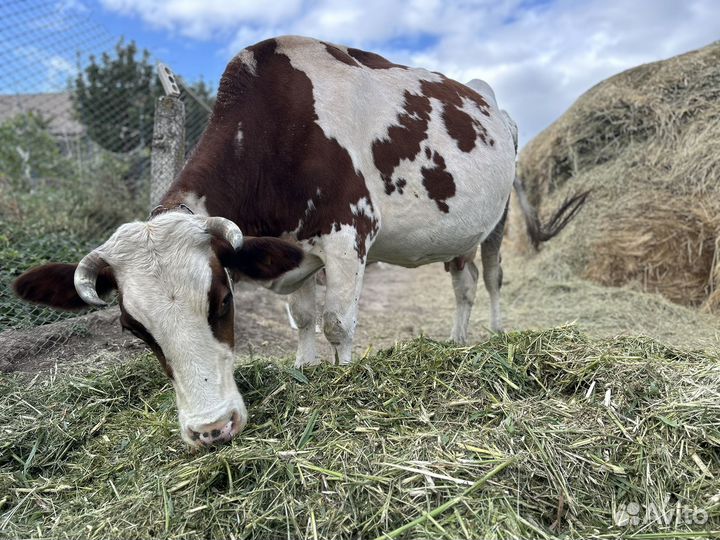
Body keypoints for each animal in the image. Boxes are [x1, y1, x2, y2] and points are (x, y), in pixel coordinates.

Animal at [13, 36, 587, 448]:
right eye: (134, 329)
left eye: (222, 302)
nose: (211, 430)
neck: (279, 129)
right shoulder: (290, 248)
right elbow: (304, 317)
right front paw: (305, 368)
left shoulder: (350, 232)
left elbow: (338, 321)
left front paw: (346, 374)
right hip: (458, 234)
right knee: (461, 284)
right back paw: (457, 341)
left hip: (498, 219)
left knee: (490, 277)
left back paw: (494, 333)